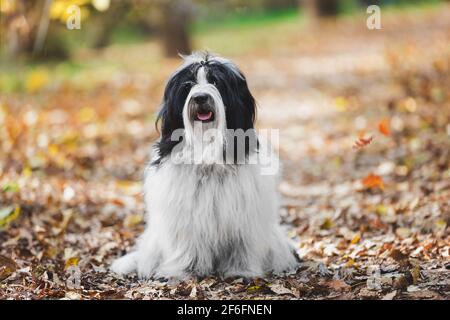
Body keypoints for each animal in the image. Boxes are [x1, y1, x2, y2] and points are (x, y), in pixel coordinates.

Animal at [110, 51, 298, 278]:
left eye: (215, 81)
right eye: (188, 85)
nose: (200, 97)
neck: (208, 151)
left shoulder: (244, 216)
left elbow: (242, 245)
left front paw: (241, 270)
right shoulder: (184, 216)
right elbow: (186, 246)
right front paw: (183, 270)